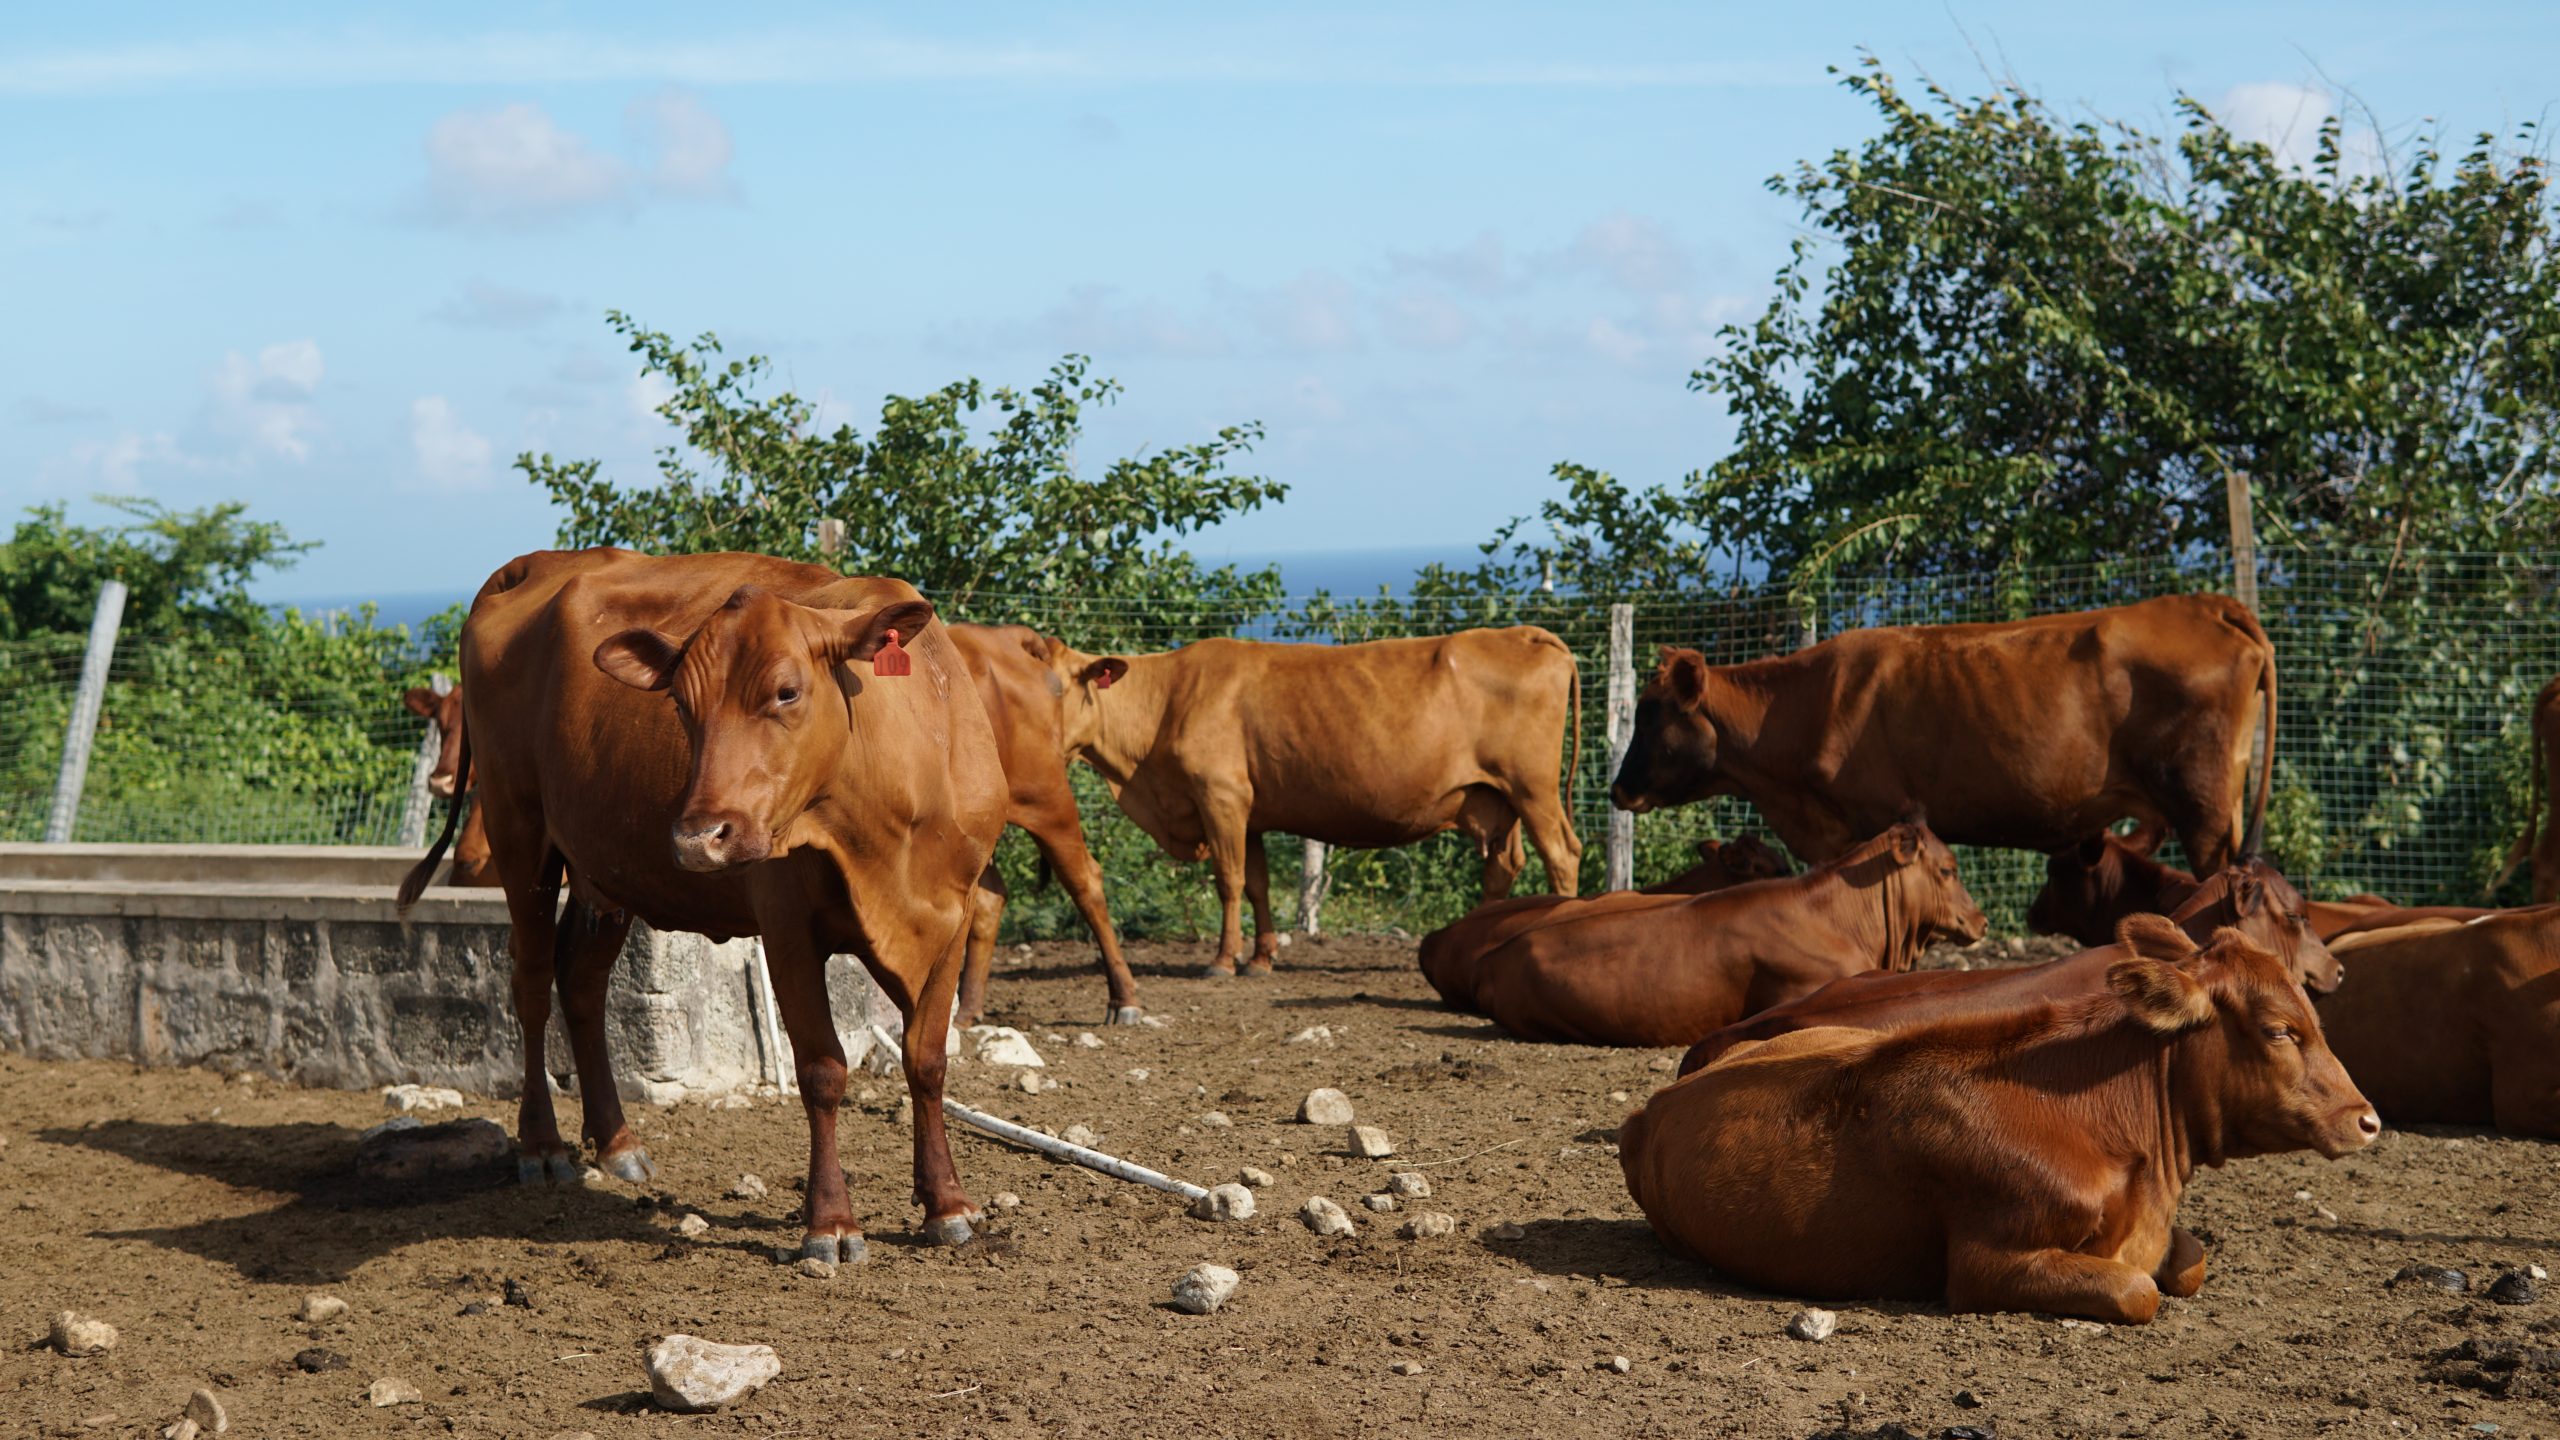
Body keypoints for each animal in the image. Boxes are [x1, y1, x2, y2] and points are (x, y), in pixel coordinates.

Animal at [944, 623, 1141, 1026]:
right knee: (988, 898)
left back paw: (1124, 1000)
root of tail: (999, 635)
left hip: (1046, 796)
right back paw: (965, 1010)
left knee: (1085, 880)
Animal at [1040, 627, 1583, 976]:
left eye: (1056, 686)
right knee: (1503, 865)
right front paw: (1261, 960)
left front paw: (1222, 961)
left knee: (1562, 854)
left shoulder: (1220, 796)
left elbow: (1229, 880)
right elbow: (1257, 884)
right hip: (1496, 797)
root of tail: (1522, 632)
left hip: (1533, 788)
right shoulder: (1251, 812)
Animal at [1620, 918, 2380, 1323]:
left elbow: (2189, 1262)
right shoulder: (1987, 1262)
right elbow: (2138, 1292)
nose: (2368, 1119)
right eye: (2281, 1030)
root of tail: (1654, 1106)